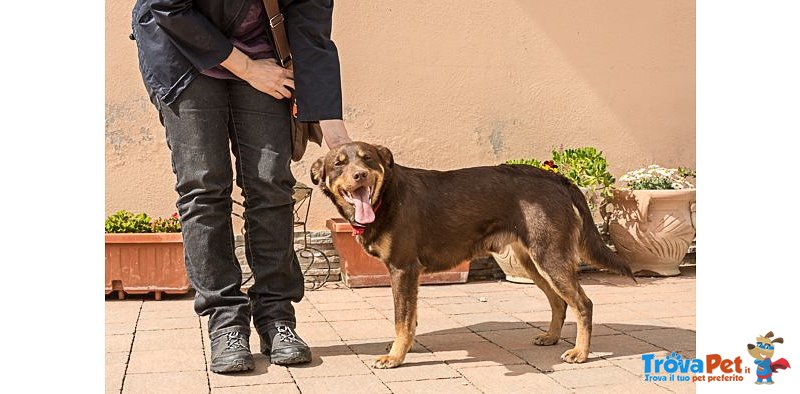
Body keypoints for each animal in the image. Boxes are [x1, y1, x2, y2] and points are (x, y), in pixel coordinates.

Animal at [310, 142, 632, 370]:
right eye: (339, 165)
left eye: (367, 159)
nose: (360, 175)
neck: (387, 197)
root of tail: (556, 178)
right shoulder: (408, 275)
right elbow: (410, 319)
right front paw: (406, 348)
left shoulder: (403, 268)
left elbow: (401, 320)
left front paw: (395, 356)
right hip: (533, 263)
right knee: (559, 302)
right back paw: (551, 337)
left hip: (550, 257)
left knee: (583, 304)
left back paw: (581, 352)